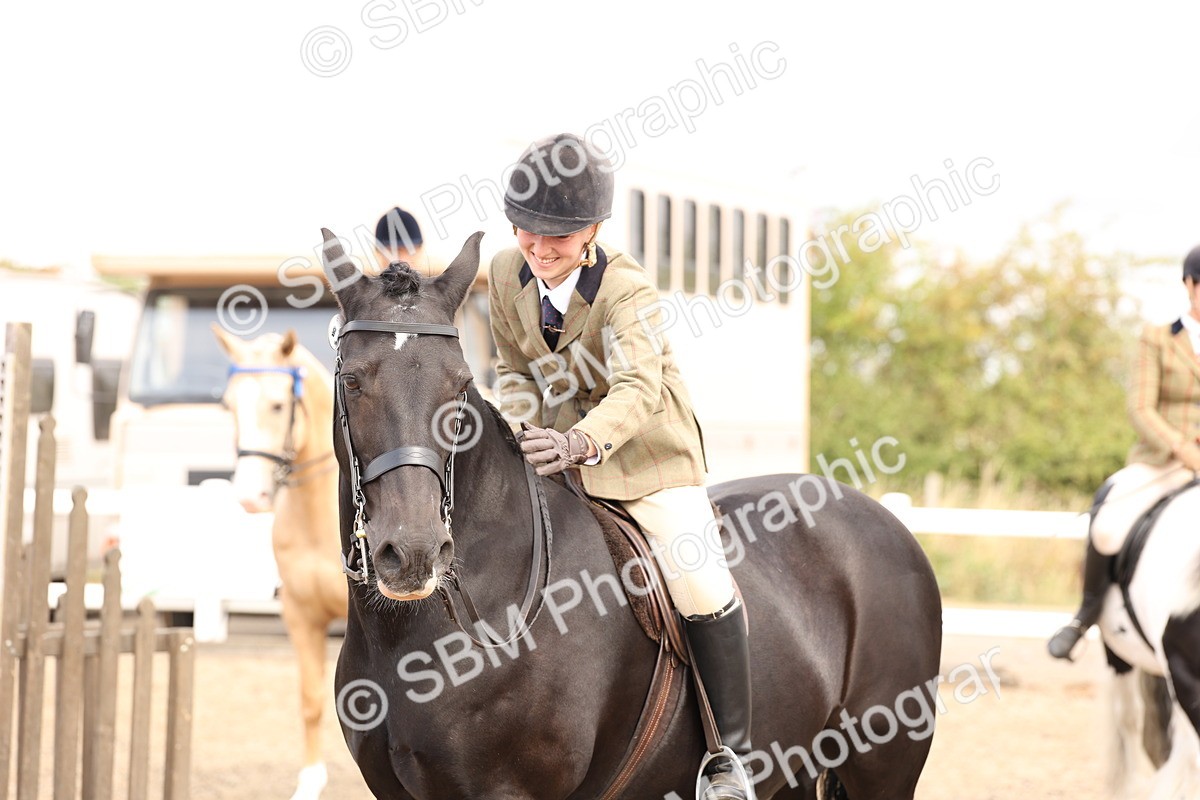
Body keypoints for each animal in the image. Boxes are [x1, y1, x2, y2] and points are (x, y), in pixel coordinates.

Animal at [213, 326, 350, 800]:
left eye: (277, 405)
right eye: (228, 405)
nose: (250, 498)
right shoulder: (301, 616)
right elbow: (311, 700)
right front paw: (310, 780)